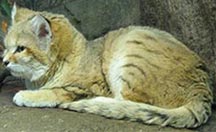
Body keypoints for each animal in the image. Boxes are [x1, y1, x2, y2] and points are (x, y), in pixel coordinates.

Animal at [2, 5, 213, 128]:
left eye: (20, 49)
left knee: (128, 102)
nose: (4, 61)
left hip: (129, 51)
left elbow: (56, 91)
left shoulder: (88, 86)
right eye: (5, 47)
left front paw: (28, 95)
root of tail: (202, 90)